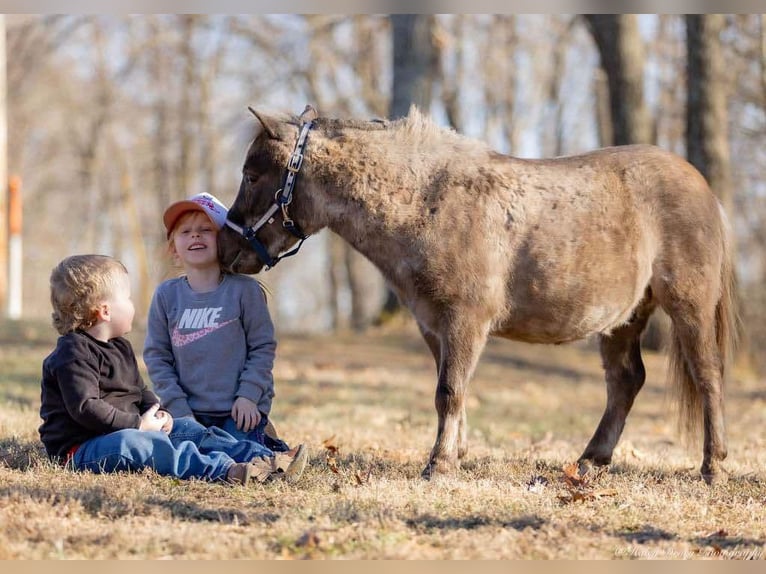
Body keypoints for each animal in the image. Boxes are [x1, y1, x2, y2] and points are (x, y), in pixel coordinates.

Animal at [216, 104, 736, 486]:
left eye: (253, 175)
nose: (225, 248)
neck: (429, 202)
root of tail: (703, 187)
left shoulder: (465, 321)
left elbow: (449, 390)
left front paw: (439, 465)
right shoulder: (434, 325)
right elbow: (450, 389)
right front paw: (457, 453)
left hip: (688, 305)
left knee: (707, 377)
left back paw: (713, 468)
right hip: (622, 318)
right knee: (625, 381)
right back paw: (591, 461)